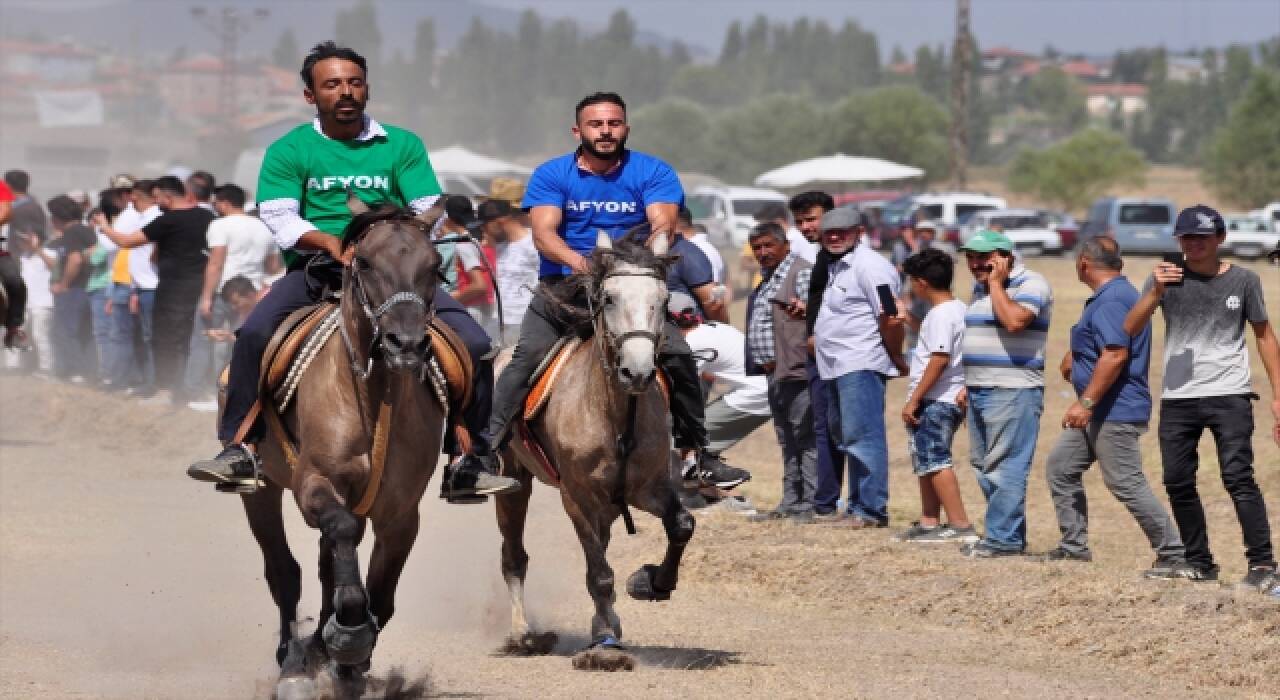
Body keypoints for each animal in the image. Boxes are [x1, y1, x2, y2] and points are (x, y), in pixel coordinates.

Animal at [241, 200, 448, 696]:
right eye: (365, 263)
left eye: (435, 265)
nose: (406, 343)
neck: (371, 397)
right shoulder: (315, 485)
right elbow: (346, 565)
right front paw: (346, 640)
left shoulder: (400, 514)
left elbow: (381, 596)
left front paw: (349, 661)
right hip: (260, 490)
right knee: (284, 571)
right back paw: (293, 662)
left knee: (325, 567)